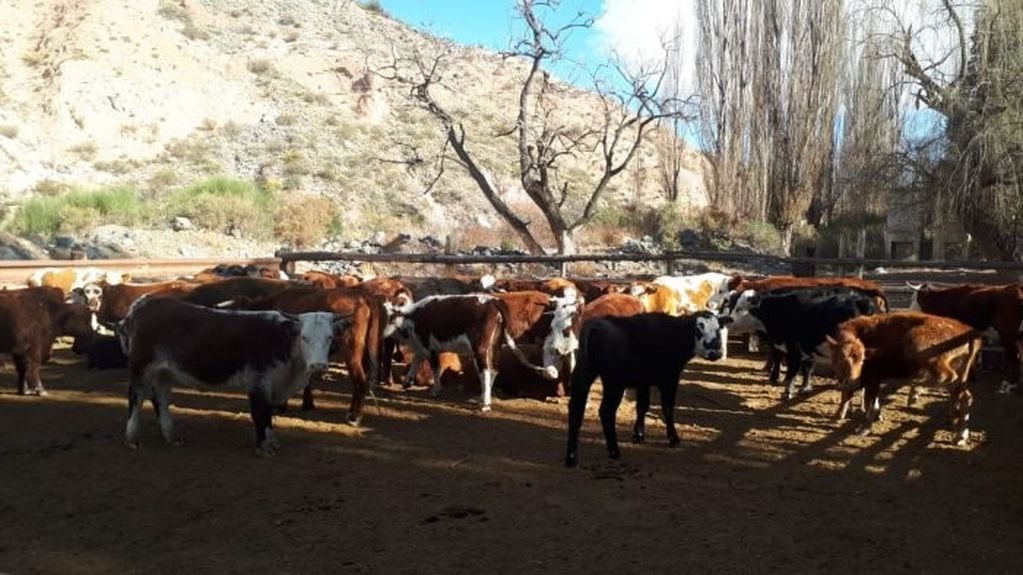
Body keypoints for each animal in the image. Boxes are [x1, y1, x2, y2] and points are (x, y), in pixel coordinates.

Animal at [120, 294, 347, 452]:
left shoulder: (273, 385)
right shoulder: (258, 382)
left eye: (329, 337)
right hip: (141, 367)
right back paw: (132, 438)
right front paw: (263, 446)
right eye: (304, 337)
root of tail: (142, 305)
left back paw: (171, 436)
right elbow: (260, 414)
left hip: (164, 372)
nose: (318, 365)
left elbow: (268, 414)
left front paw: (272, 442)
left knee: (160, 399)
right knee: (136, 397)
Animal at [564, 308, 732, 466]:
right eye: (698, 330)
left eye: (718, 330)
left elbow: (642, 406)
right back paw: (614, 451)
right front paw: (673, 438)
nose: (715, 352)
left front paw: (638, 435)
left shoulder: (643, 382)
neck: (673, 333)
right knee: (606, 412)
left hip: (583, 375)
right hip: (614, 384)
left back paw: (572, 458)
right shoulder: (670, 378)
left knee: (575, 410)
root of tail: (597, 324)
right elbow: (667, 407)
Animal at [728, 286, 879, 399]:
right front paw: (805, 388)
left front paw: (787, 392)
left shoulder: (793, 348)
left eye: (740, 308)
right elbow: (807, 369)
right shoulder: (807, 348)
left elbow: (792, 371)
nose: (727, 320)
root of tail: (862, 301)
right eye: (732, 306)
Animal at [822, 308, 982, 444]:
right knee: (962, 395)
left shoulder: (871, 379)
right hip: (962, 374)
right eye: (840, 359)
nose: (852, 381)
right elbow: (866, 399)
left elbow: (868, 401)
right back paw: (959, 432)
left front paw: (864, 427)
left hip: (919, 348)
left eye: (862, 360)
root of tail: (966, 330)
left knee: (950, 381)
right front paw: (874, 416)